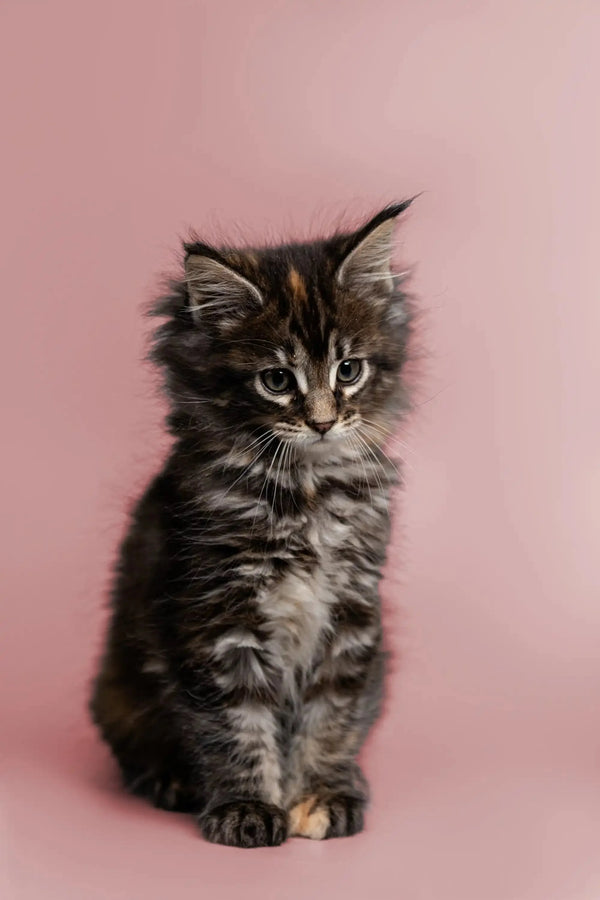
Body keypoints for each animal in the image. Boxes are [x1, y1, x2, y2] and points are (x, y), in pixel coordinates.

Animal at [91, 200, 414, 848]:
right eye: (277, 380)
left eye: (348, 370)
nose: (322, 422)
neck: (305, 492)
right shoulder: (217, 618)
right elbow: (234, 722)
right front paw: (247, 807)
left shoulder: (351, 615)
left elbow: (333, 715)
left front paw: (322, 794)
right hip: (117, 692)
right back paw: (170, 781)